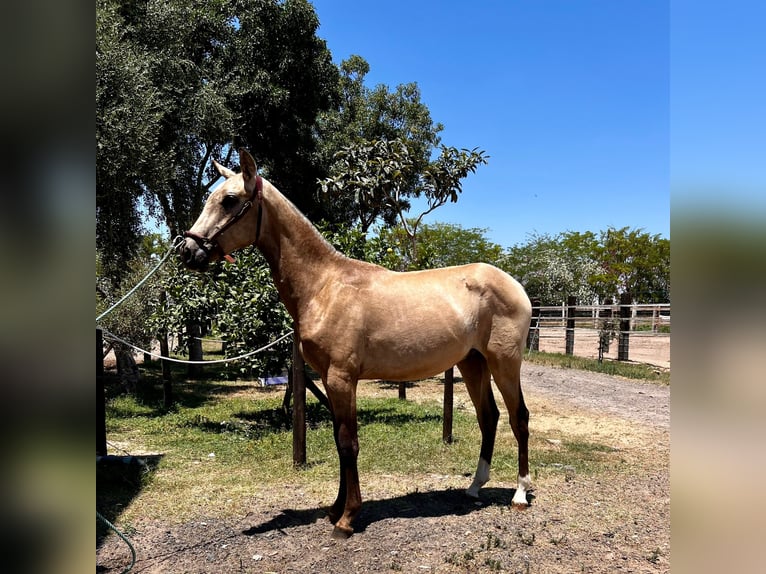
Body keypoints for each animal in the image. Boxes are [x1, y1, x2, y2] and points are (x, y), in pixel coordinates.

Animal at [180, 148, 536, 540]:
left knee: (519, 417)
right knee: (489, 417)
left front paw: (348, 518)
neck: (325, 285)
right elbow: (339, 442)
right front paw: (336, 509)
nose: (188, 252)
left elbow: (348, 443)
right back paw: (474, 487)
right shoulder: (330, 380)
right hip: (472, 363)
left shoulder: (341, 378)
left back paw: (520, 493)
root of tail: (513, 284)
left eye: (229, 200)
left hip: (504, 363)